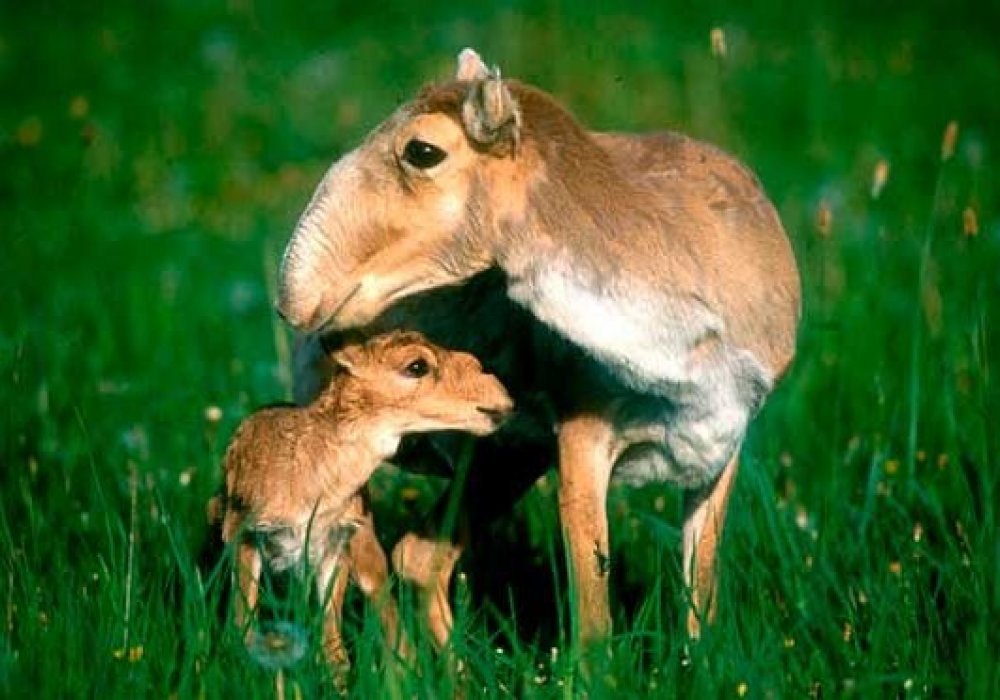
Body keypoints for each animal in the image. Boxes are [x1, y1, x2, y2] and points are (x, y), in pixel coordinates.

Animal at [272, 49, 796, 648]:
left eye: (422, 150)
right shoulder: (582, 440)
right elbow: (592, 620)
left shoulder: (720, 449)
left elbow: (700, 603)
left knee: (419, 557)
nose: (297, 295)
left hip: (506, 457)